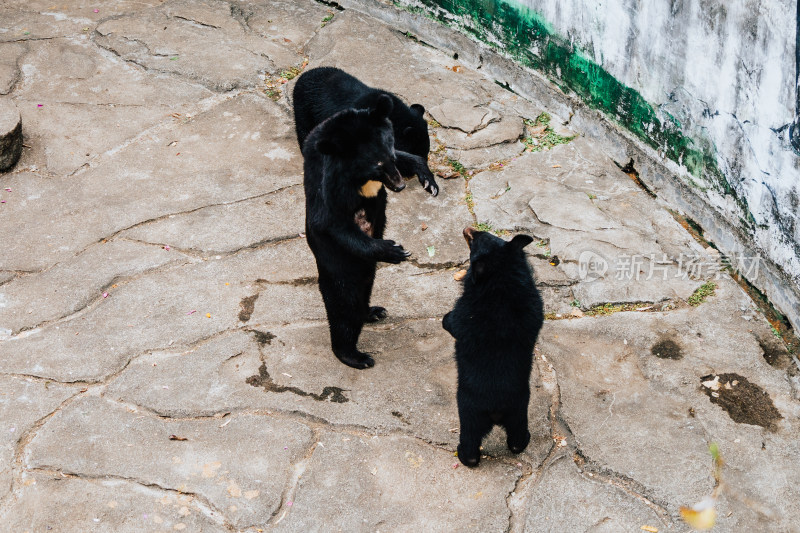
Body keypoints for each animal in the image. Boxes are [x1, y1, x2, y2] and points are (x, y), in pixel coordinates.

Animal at [302, 94, 410, 370]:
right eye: (378, 166)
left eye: (392, 156)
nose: (400, 186)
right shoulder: (329, 178)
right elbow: (332, 221)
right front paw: (395, 250)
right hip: (341, 265)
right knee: (345, 307)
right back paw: (355, 355)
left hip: (364, 269)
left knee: (365, 288)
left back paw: (373, 311)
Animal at [440, 228, 548, 466]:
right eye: (485, 233)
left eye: (474, 240)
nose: (467, 229)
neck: (503, 277)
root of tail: (497, 409)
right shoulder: (534, 305)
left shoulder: (466, 310)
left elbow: (453, 323)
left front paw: (444, 318)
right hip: (520, 409)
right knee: (517, 437)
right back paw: (523, 441)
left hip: (470, 409)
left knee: (470, 438)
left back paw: (465, 456)